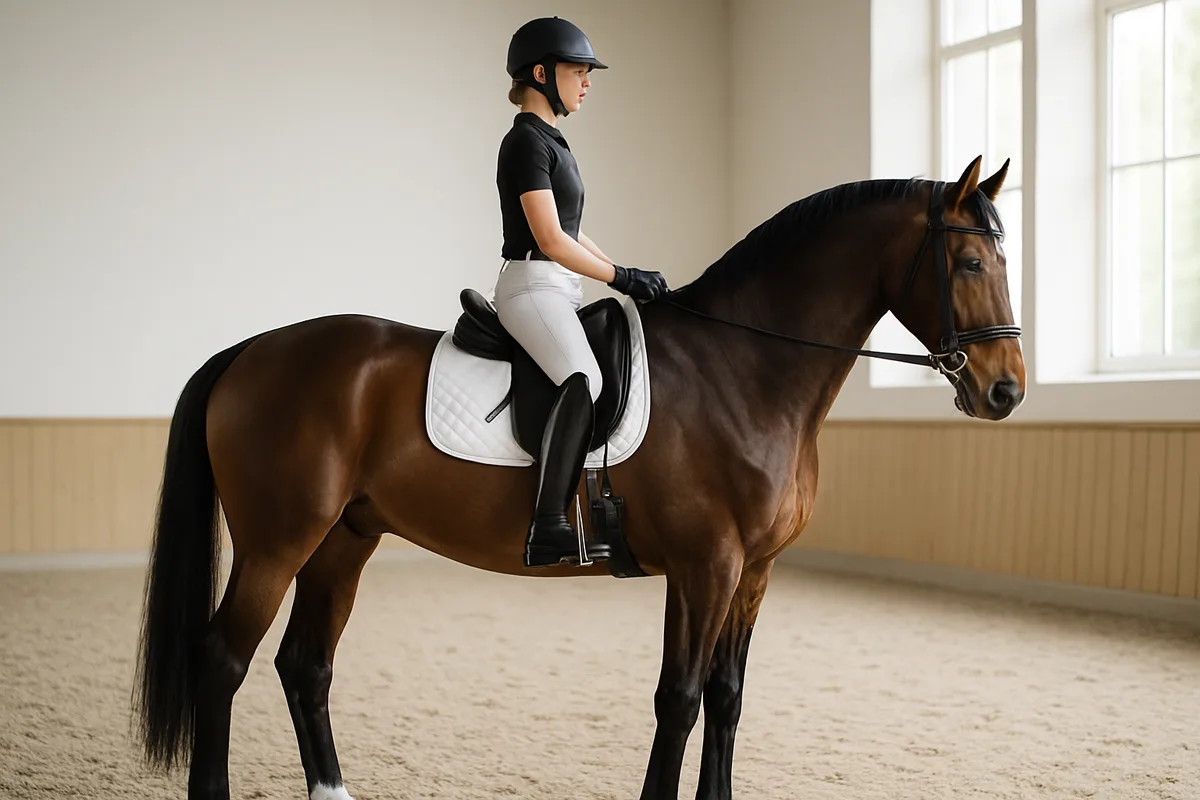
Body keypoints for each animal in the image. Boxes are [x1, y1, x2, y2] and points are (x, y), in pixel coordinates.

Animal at [133, 155, 1025, 800]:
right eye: (968, 261)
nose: (1006, 392)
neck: (744, 367)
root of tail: (251, 350)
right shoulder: (706, 566)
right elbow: (680, 699)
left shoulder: (752, 571)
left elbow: (726, 698)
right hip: (277, 543)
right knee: (223, 660)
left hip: (343, 540)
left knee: (304, 665)